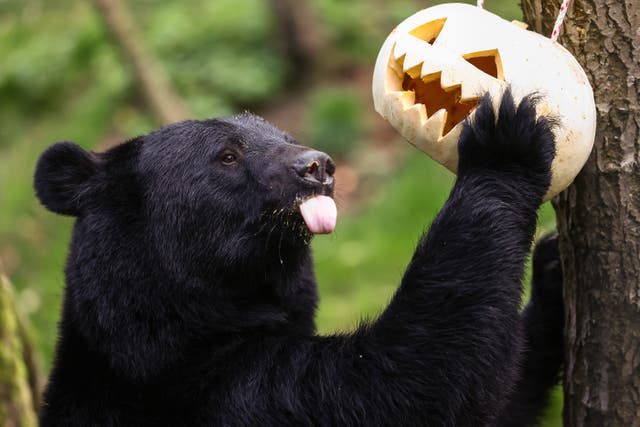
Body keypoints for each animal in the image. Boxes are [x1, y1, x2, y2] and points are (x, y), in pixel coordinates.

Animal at [34, 90, 564, 426]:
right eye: (227, 155)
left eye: (284, 136)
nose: (318, 166)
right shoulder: (219, 393)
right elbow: (401, 384)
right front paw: (504, 142)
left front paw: (553, 269)